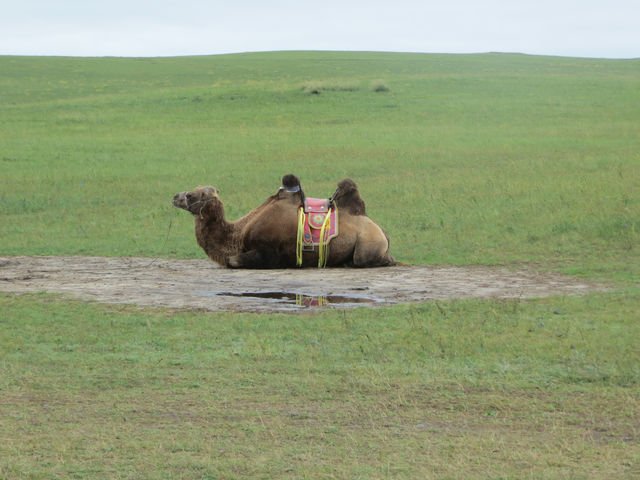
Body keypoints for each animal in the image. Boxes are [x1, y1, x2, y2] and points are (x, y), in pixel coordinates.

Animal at [172, 174, 398, 268]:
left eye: (191, 195)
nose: (175, 196)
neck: (239, 233)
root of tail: (382, 231)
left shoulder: (269, 252)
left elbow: (232, 261)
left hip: (368, 243)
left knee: (366, 259)